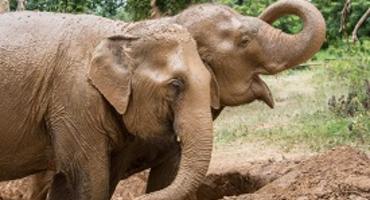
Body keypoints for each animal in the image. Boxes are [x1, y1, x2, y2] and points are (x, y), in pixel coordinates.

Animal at [0, 10, 220, 200]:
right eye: (176, 84)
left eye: (210, 80)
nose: (137, 196)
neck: (126, 31)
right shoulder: (74, 102)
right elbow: (91, 180)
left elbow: (69, 183)